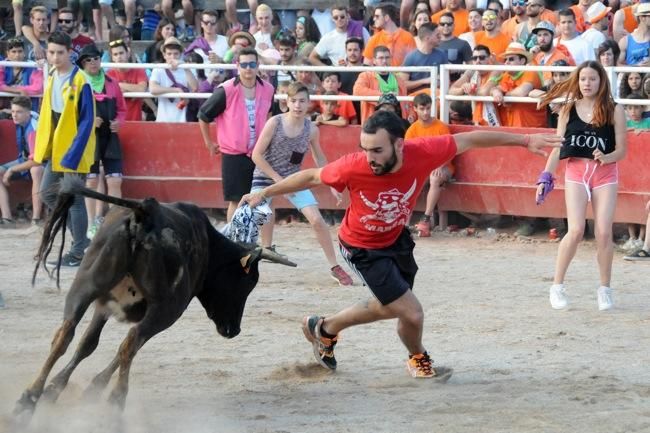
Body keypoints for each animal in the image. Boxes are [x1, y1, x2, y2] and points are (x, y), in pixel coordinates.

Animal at [14, 178, 294, 416]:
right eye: (247, 284)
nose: (233, 330)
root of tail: (145, 214)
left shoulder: (105, 305)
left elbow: (88, 344)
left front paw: (55, 389)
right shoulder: (156, 311)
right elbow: (124, 347)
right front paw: (94, 387)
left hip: (85, 286)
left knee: (65, 333)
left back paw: (28, 399)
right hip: (166, 309)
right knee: (130, 342)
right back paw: (115, 402)